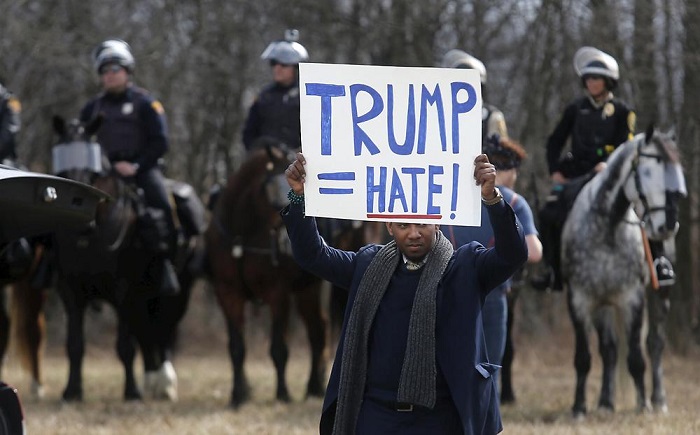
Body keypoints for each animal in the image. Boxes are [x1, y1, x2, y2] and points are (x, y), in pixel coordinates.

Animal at [50, 117, 205, 404]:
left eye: (92, 163)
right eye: (62, 154)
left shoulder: (122, 290)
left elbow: (124, 345)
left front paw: (131, 392)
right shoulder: (70, 291)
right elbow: (75, 344)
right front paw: (72, 391)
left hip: (177, 292)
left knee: (164, 332)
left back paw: (165, 384)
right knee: (147, 334)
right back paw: (152, 380)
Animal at [205, 142, 328, 408]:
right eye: (270, 189)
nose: (285, 244)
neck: (242, 234)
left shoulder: (278, 294)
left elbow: (279, 348)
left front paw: (282, 394)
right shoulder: (227, 293)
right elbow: (236, 347)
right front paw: (237, 395)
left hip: (309, 289)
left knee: (317, 330)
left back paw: (314, 387)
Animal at [564, 127, 684, 420]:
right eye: (648, 172)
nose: (666, 226)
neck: (607, 227)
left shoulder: (632, 298)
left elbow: (637, 358)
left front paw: (644, 406)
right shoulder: (580, 299)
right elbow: (583, 357)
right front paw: (579, 408)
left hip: (660, 295)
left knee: (655, 344)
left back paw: (658, 399)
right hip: (604, 303)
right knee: (609, 349)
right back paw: (605, 403)